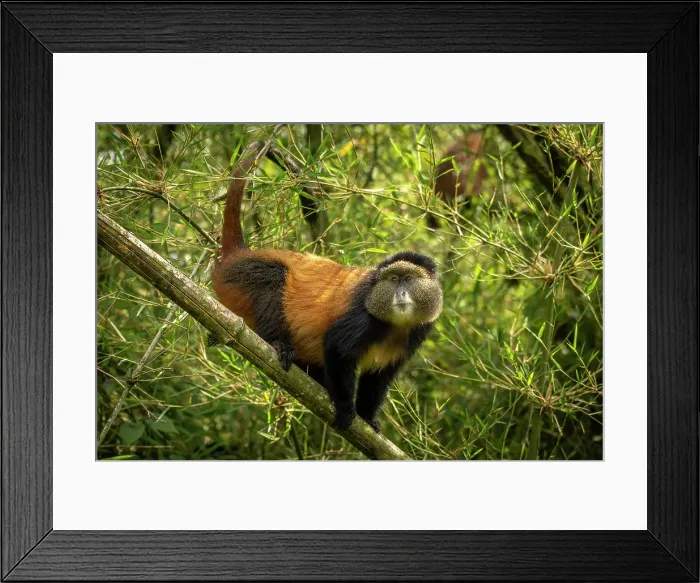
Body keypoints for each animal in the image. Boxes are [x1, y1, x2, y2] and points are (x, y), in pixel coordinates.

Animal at [212, 141, 443, 433]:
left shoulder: (418, 331)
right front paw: (345, 409)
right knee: (274, 277)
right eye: (393, 280)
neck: (392, 323)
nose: (400, 292)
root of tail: (237, 255)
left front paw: (368, 417)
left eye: (409, 279)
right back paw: (279, 344)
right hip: (243, 276)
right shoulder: (362, 317)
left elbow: (379, 377)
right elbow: (337, 348)